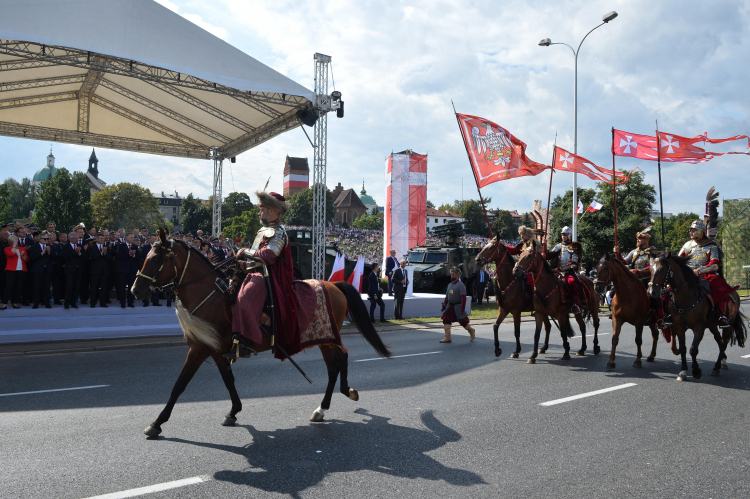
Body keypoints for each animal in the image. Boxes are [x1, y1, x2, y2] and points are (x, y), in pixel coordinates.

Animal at [131, 230, 394, 438]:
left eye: (156, 258)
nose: (135, 290)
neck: (213, 296)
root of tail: (333, 285)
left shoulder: (199, 349)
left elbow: (179, 385)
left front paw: (156, 423)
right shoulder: (216, 350)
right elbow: (228, 381)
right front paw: (233, 412)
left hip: (326, 337)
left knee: (339, 362)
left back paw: (334, 400)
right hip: (325, 339)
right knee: (337, 362)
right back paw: (329, 403)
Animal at [648, 252, 748, 380]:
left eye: (663, 269)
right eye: (651, 269)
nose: (652, 292)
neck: (686, 298)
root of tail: (734, 292)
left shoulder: (699, 327)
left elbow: (693, 349)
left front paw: (696, 371)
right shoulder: (679, 326)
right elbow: (683, 348)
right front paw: (683, 371)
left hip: (729, 323)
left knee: (724, 342)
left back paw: (717, 367)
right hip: (712, 325)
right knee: (719, 340)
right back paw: (722, 362)